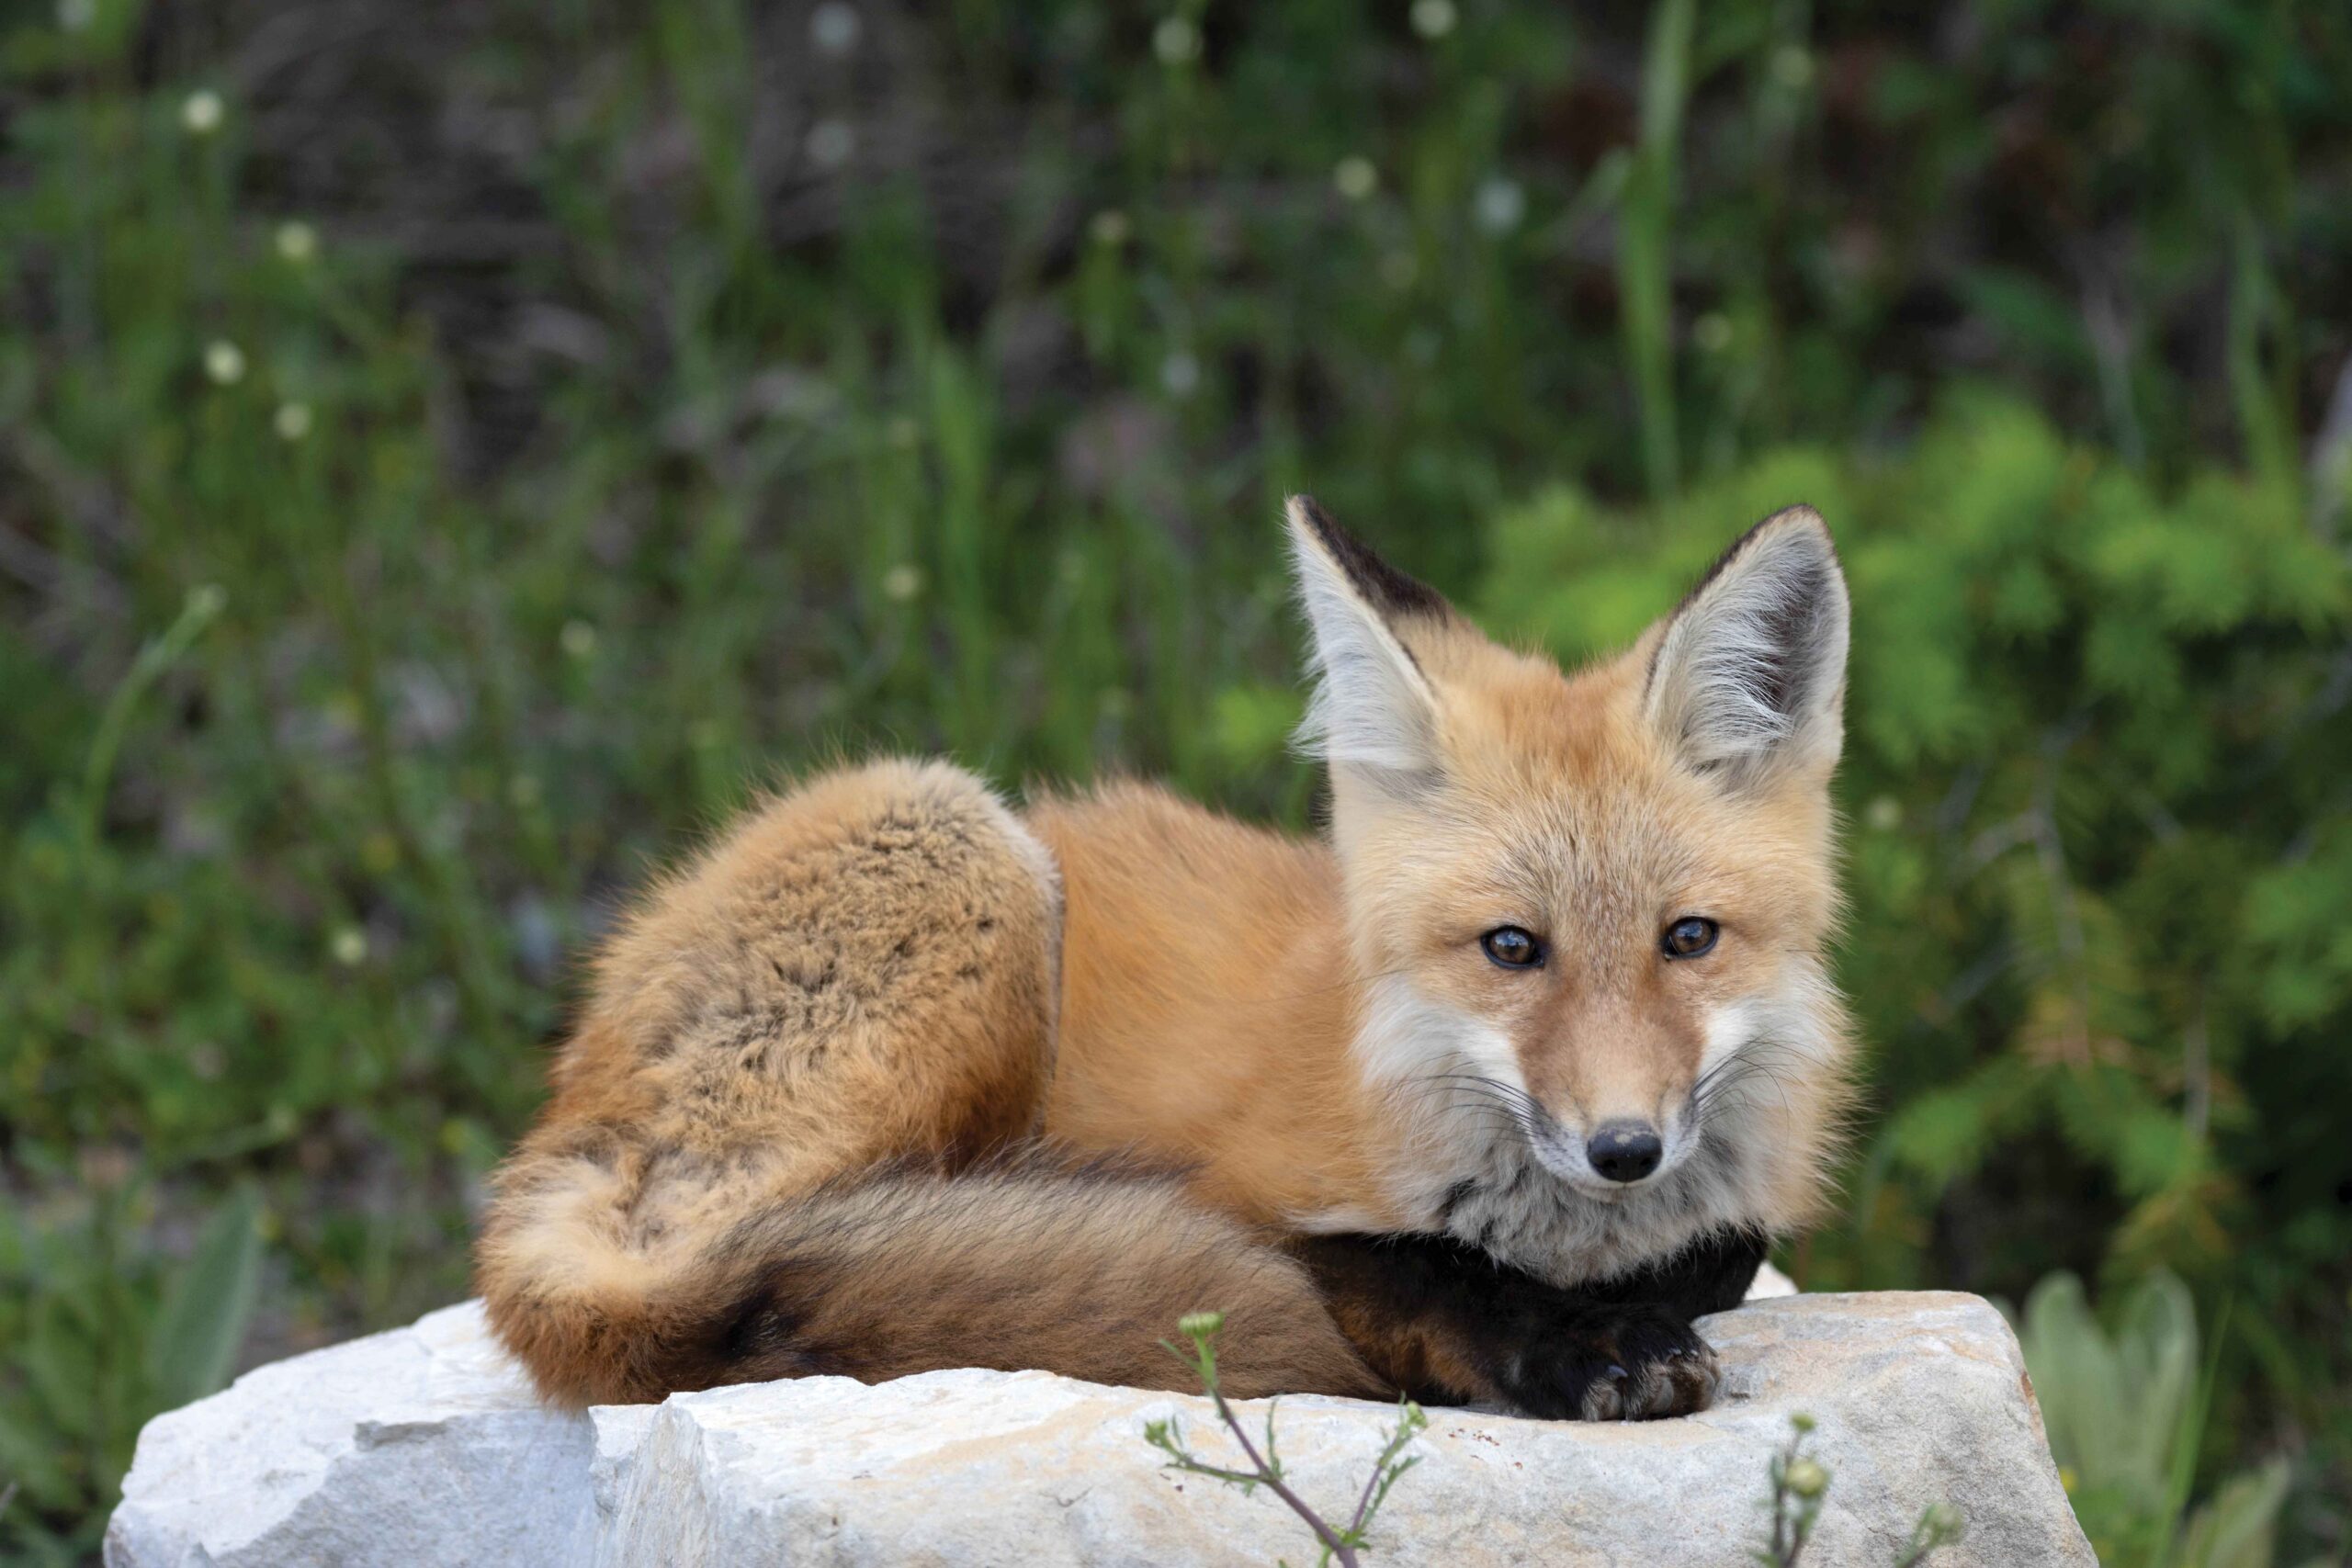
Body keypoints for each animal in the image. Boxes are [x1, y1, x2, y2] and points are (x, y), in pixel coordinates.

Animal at [476, 497, 1855, 1422]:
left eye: (1689, 939)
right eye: (1512, 948)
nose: (1626, 1148)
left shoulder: (1734, 1206)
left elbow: (1719, 1250)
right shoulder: (1261, 1193)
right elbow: (1425, 1267)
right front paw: (1581, 1345)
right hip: (965, 853)